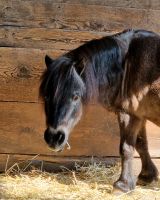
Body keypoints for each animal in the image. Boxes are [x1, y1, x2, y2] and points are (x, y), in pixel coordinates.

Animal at [39, 29, 160, 192]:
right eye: (46, 95)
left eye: (76, 96)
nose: (53, 138)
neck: (128, 65)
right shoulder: (139, 114)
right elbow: (141, 144)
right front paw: (147, 176)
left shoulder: (128, 115)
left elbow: (127, 148)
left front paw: (123, 185)